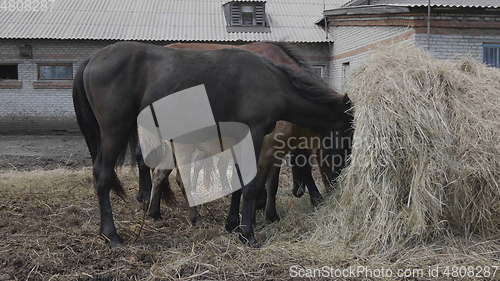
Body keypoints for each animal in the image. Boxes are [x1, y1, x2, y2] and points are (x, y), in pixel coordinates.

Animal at [73, 41, 352, 245]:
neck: (272, 81)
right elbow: (252, 184)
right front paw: (248, 234)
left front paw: (235, 224)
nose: (340, 180)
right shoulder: (255, 135)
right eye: (346, 137)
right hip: (115, 131)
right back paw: (112, 234)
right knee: (104, 175)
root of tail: (92, 59)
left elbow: (240, 182)